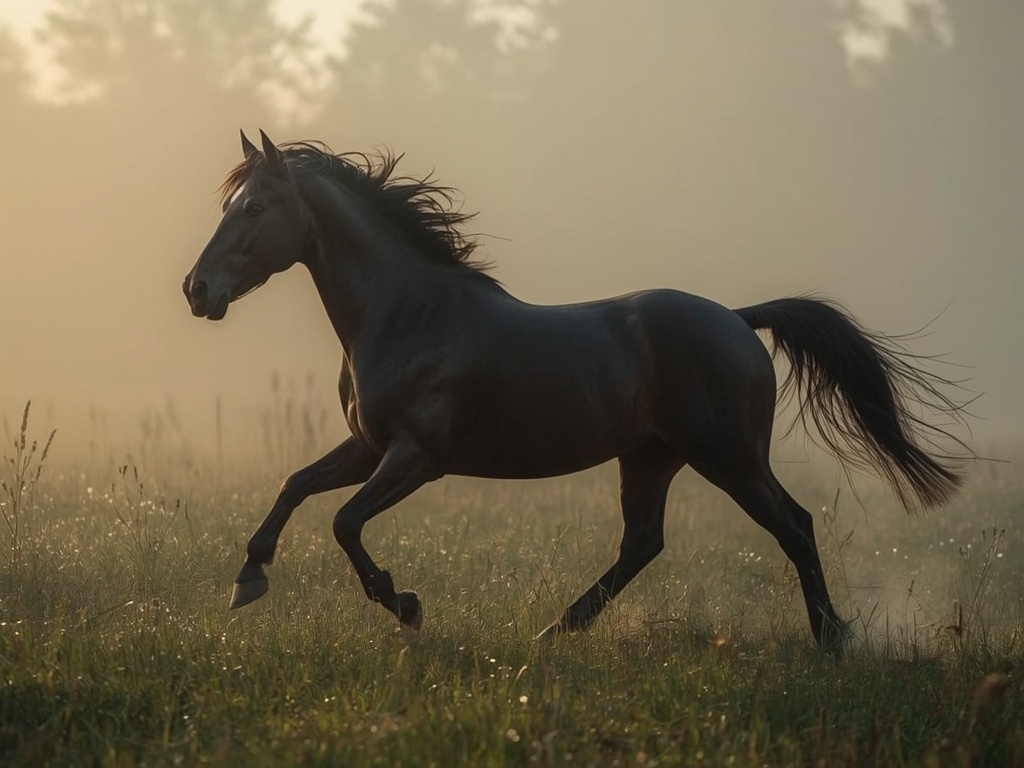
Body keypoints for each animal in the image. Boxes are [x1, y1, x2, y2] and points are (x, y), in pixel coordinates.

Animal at [183, 130, 967, 650]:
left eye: (255, 208)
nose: (196, 289)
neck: (408, 315)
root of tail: (738, 320)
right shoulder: (367, 446)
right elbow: (293, 485)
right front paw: (248, 578)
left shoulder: (417, 457)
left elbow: (345, 522)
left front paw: (404, 603)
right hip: (650, 457)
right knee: (643, 544)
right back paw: (555, 631)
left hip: (730, 458)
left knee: (794, 525)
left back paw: (832, 640)